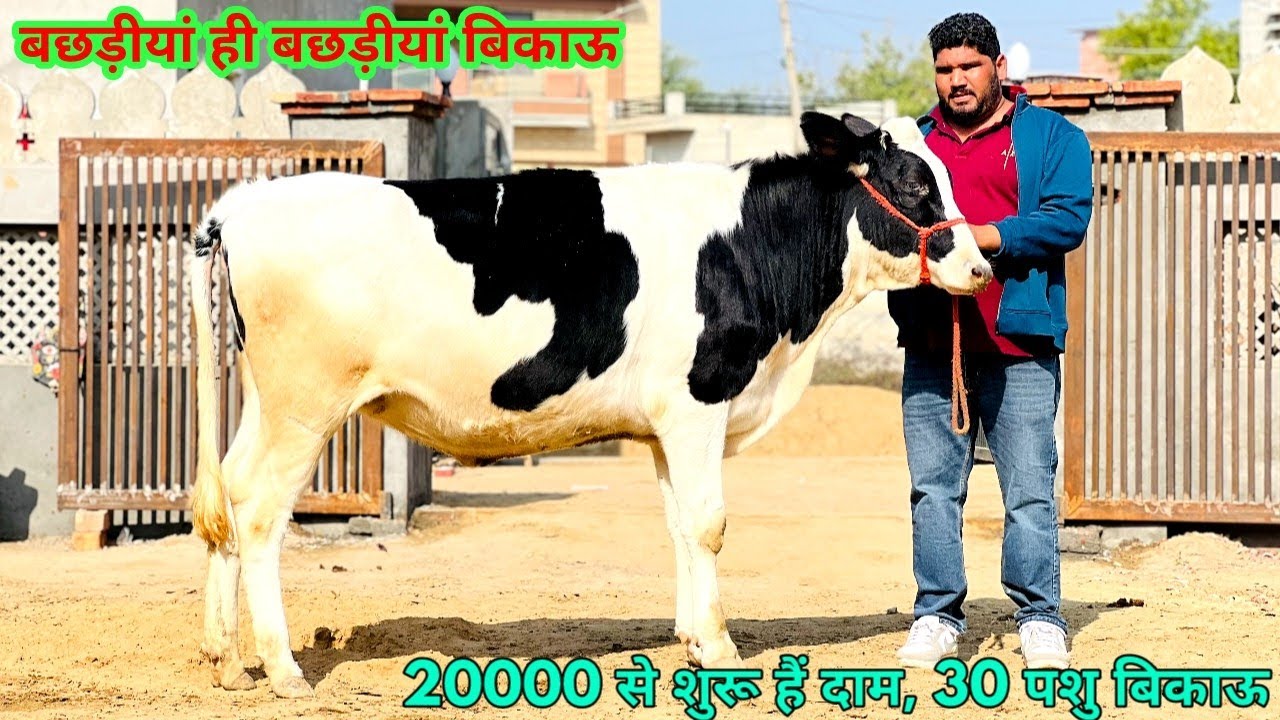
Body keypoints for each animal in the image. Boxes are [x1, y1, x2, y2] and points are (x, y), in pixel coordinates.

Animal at [188, 111, 992, 698]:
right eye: (914, 184)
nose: (982, 267)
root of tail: (242, 203)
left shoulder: (666, 424)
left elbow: (679, 527)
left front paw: (691, 640)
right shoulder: (699, 404)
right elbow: (709, 524)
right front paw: (722, 648)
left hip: (266, 402)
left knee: (228, 494)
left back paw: (225, 658)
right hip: (306, 404)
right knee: (258, 513)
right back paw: (284, 669)